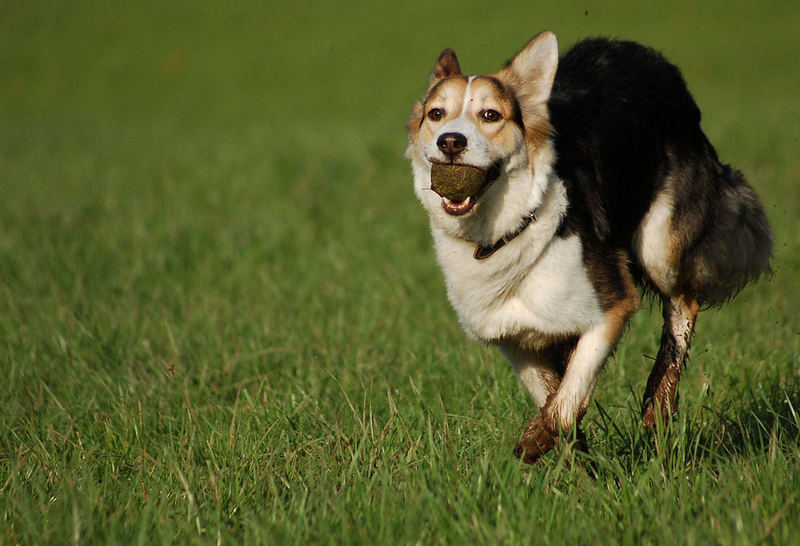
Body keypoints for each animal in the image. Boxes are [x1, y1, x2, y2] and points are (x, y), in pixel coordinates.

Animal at [404, 31, 772, 462]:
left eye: (491, 115)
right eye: (436, 114)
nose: (450, 141)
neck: (505, 231)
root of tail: (646, 55)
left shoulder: (611, 305)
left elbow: (566, 402)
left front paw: (534, 442)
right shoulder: (514, 336)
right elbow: (554, 398)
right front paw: (577, 463)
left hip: (659, 242)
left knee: (684, 304)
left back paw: (658, 404)